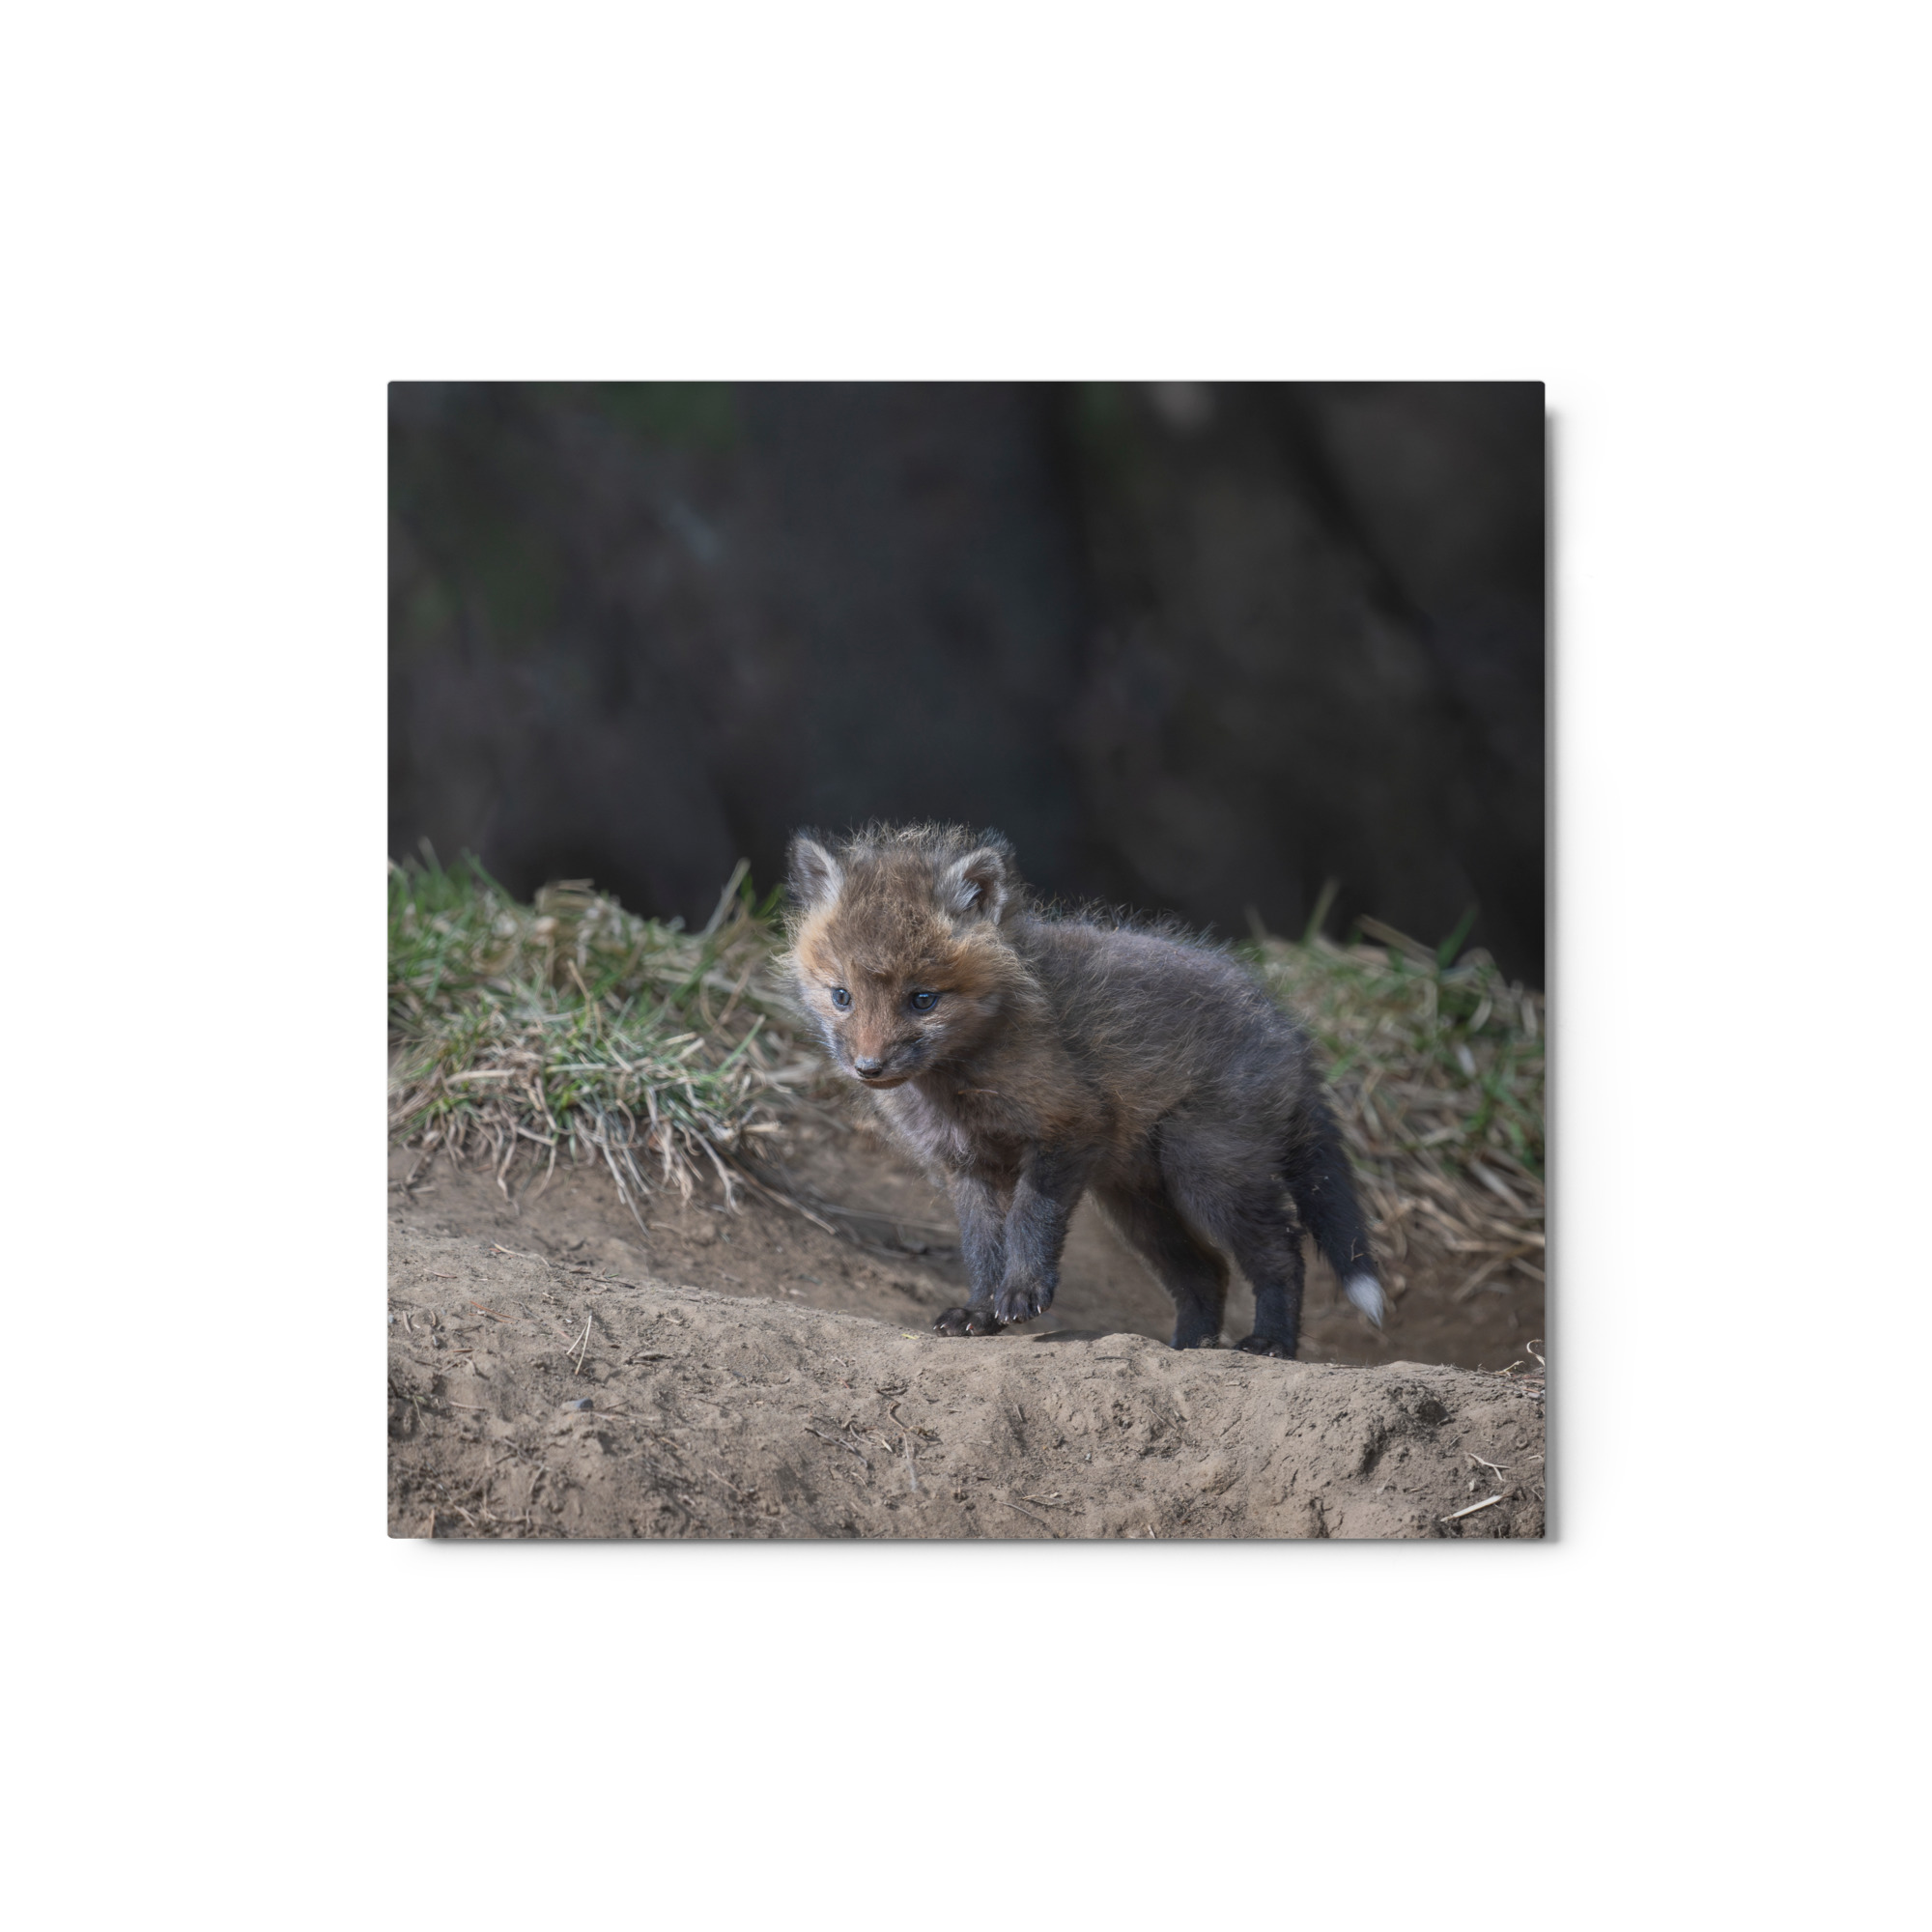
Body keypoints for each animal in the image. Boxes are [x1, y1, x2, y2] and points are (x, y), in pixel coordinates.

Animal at [782, 822, 1385, 1357]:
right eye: (841, 996)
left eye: (922, 1000)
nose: (868, 1067)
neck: (959, 1085)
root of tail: (1289, 1030)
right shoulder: (967, 1165)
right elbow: (981, 1247)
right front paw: (979, 1311)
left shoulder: (1068, 1127)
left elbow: (1030, 1219)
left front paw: (1022, 1292)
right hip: (1137, 1203)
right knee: (1206, 1272)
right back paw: (1189, 1348)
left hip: (1208, 1173)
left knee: (1282, 1253)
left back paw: (1270, 1343)